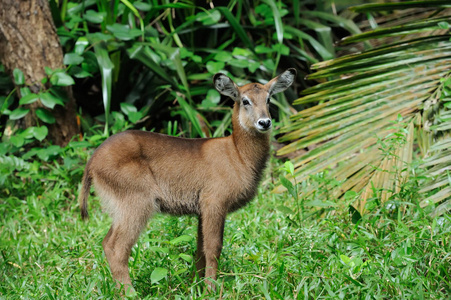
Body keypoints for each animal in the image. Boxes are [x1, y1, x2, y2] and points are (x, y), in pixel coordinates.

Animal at [78, 68, 296, 292]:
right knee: (117, 247)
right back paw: (131, 293)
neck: (238, 154)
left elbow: (200, 250)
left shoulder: (202, 210)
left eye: (268, 99)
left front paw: (196, 286)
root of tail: (93, 161)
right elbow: (214, 248)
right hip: (136, 204)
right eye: (245, 100)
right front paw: (211, 289)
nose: (265, 122)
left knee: (106, 242)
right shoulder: (214, 203)